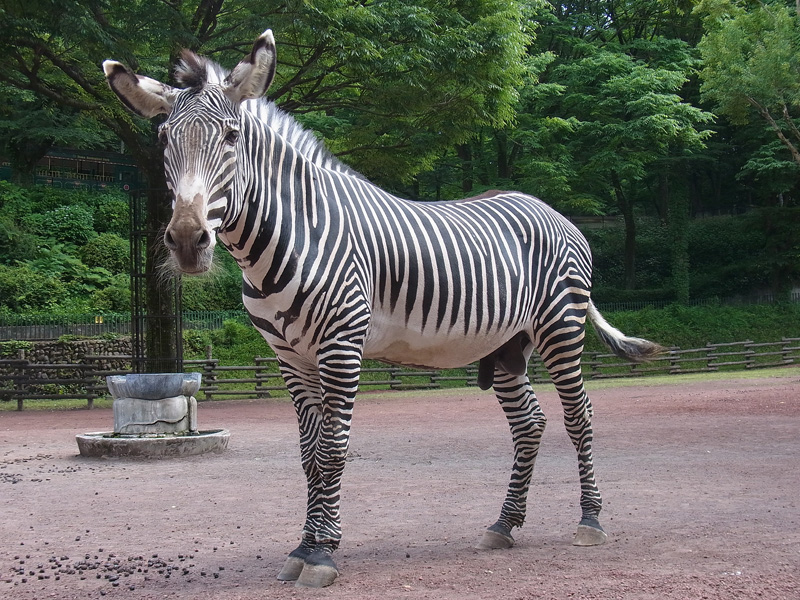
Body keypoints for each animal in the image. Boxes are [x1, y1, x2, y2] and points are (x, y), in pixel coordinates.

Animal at [101, 30, 664, 588]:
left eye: (233, 137)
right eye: (165, 142)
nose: (187, 242)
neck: (292, 236)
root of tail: (549, 210)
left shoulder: (340, 346)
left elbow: (333, 449)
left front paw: (323, 553)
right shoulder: (290, 358)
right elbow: (309, 455)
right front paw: (303, 546)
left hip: (560, 327)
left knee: (578, 416)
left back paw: (590, 520)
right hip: (507, 346)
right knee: (530, 424)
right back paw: (504, 525)